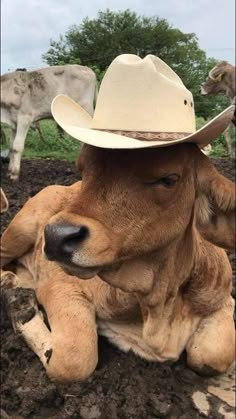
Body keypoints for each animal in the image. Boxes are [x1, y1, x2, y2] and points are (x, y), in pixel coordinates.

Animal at [0, 145, 235, 384]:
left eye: (169, 179)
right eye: (84, 170)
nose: (56, 236)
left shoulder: (225, 300)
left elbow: (213, 356)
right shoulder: (61, 286)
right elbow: (73, 360)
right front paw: (19, 309)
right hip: (24, 226)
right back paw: (8, 282)